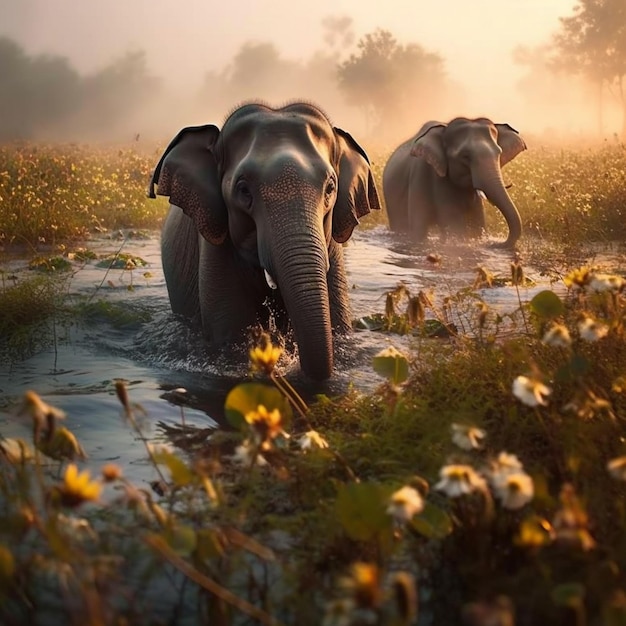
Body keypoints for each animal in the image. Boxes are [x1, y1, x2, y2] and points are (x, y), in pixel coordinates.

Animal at [382, 117, 524, 246]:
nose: (496, 243)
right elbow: (453, 223)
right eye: (465, 156)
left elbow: (476, 225)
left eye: (499, 153)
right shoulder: (429, 175)